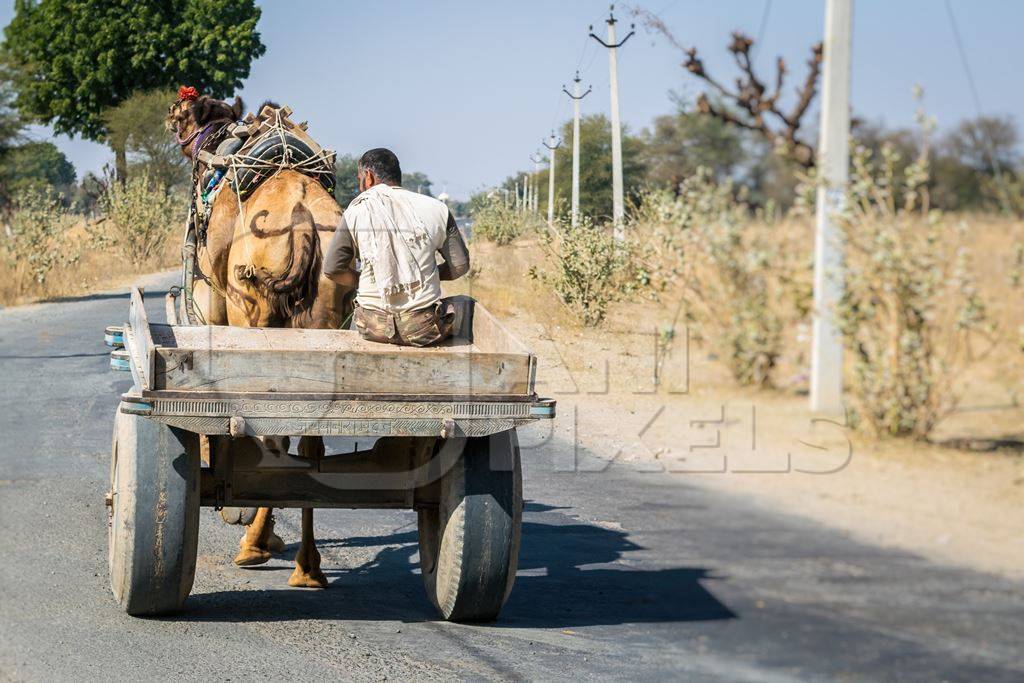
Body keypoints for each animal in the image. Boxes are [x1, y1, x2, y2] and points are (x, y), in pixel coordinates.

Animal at [165, 88, 354, 589]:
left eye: (180, 115)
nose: (172, 121)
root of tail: (303, 221)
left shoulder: (212, 301)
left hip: (250, 314)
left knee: (274, 435)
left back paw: (253, 543)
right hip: (322, 319)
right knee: (309, 444)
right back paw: (307, 567)